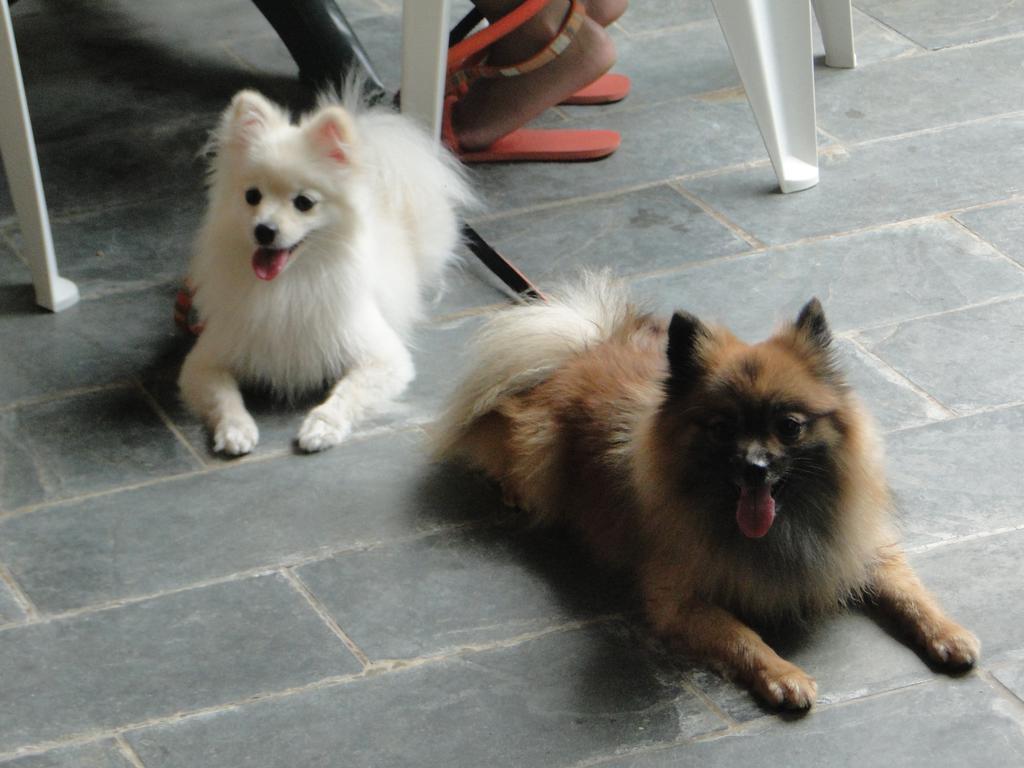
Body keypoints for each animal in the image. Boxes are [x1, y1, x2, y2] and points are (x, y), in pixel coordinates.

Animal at [178, 85, 473, 456]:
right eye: (252, 196)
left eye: (304, 203)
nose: (264, 230)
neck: (288, 283)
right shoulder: (205, 362)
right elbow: (223, 395)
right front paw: (236, 428)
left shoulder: (384, 358)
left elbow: (349, 391)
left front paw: (322, 425)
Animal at [432, 274, 974, 708]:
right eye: (721, 428)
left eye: (789, 427)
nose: (755, 467)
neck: (780, 525)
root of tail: (583, 351)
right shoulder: (681, 601)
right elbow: (741, 636)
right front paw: (782, 674)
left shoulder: (865, 549)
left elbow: (910, 593)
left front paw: (948, 633)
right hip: (538, 452)